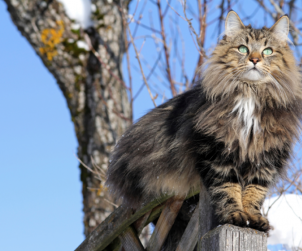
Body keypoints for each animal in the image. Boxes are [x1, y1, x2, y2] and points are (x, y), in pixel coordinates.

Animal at [105, 10, 300, 247]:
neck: (250, 94)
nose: (255, 59)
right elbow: (228, 190)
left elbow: (255, 193)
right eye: (243, 48)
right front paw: (235, 216)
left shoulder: (264, 159)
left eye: (268, 51)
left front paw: (254, 219)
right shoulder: (217, 154)